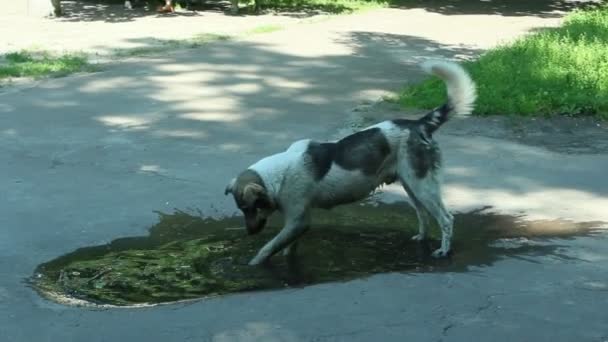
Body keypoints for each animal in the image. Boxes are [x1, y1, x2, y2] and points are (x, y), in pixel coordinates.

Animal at [223, 60, 476, 266]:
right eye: (243, 210)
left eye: (249, 208)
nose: (249, 233)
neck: (277, 176)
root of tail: (419, 124)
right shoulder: (296, 224)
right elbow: (285, 247)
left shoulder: (298, 220)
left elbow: (268, 248)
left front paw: (253, 264)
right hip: (412, 186)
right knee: (423, 215)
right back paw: (421, 239)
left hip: (423, 186)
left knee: (446, 219)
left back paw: (443, 251)